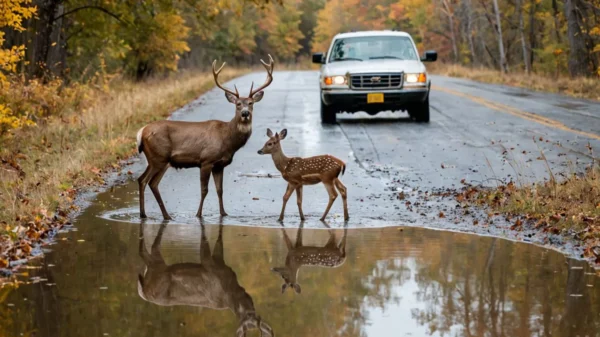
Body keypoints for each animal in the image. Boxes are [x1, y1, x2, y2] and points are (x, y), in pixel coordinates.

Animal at [136, 55, 274, 219]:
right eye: (238, 104)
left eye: (251, 103)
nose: (245, 113)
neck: (227, 139)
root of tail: (141, 132)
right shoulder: (206, 160)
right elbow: (204, 190)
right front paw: (198, 214)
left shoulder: (219, 165)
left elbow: (220, 190)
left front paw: (224, 213)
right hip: (159, 157)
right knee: (150, 182)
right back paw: (163, 215)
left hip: (158, 160)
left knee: (144, 180)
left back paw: (146, 214)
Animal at [138, 220, 274, 336]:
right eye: (243, 319)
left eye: (256, 319)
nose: (249, 313)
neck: (231, 288)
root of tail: (143, 292)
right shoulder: (209, 265)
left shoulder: (219, 261)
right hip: (158, 269)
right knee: (146, 251)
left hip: (154, 268)